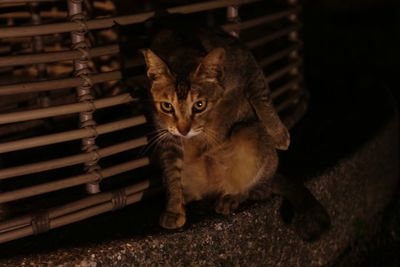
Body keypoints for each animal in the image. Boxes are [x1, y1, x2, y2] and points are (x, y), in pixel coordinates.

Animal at [139, 14, 330, 241]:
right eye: (167, 106)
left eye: (199, 105)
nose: (184, 130)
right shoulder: (167, 136)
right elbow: (171, 173)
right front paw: (174, 209)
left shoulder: (247, 63)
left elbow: (262, 98)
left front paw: (279, 134)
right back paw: (191, 196)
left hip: (250, 134)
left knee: (257, 190)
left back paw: (232, 197)